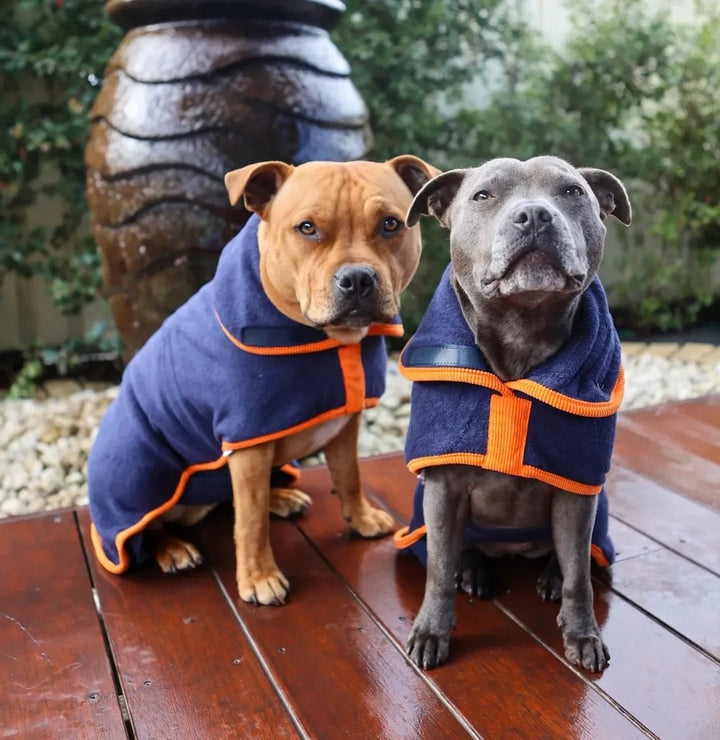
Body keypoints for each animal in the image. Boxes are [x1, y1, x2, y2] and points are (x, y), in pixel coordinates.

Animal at [86, 156, 436, 608]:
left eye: (391, 224)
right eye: (307, 228)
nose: (358, 278)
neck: (326, 340)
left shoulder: (345, 423)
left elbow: (348, 475)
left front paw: (359, 517)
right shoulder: (248, 444)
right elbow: (250, 521)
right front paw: (259, 577)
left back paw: (282, 497)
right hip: (139, 472)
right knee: (151, 527)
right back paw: (172, 548)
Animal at [394, 155, 632, 672]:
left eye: (573, 192)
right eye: (483, 195)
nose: (534, 215)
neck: (522, 333)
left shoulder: (577, 490)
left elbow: (579, 574)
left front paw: (582, 633)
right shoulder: (442, 488)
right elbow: (438, 568)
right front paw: (432, 630)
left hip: (597, 506)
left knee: (575, 557)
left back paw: (549, 575)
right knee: (456, 550)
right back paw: (473, 569)